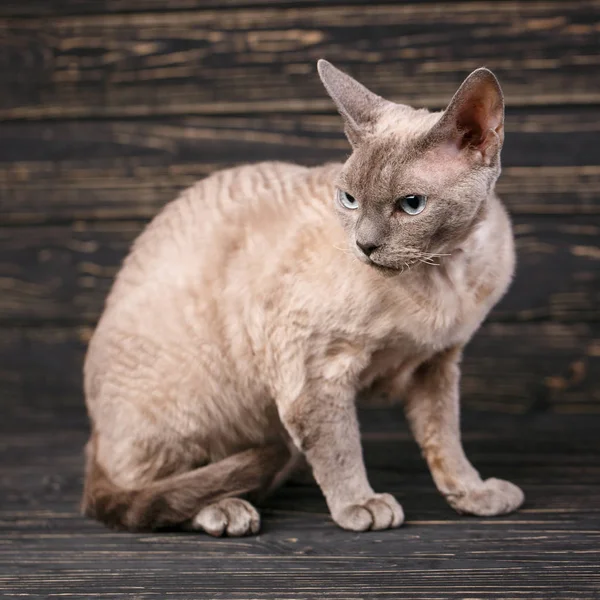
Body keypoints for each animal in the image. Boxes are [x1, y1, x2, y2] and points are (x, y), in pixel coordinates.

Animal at [83, 58, 524, 536]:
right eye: (349, 200)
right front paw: (360, 505)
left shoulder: (436, 363)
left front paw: (473, 494)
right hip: (191, 399)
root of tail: (94, 437)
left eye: (411, 205)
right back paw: (228, 509)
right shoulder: (313, 367)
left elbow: (445, 439)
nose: (364, 245)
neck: (441, 273)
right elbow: (338, 447)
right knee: (155, 489)